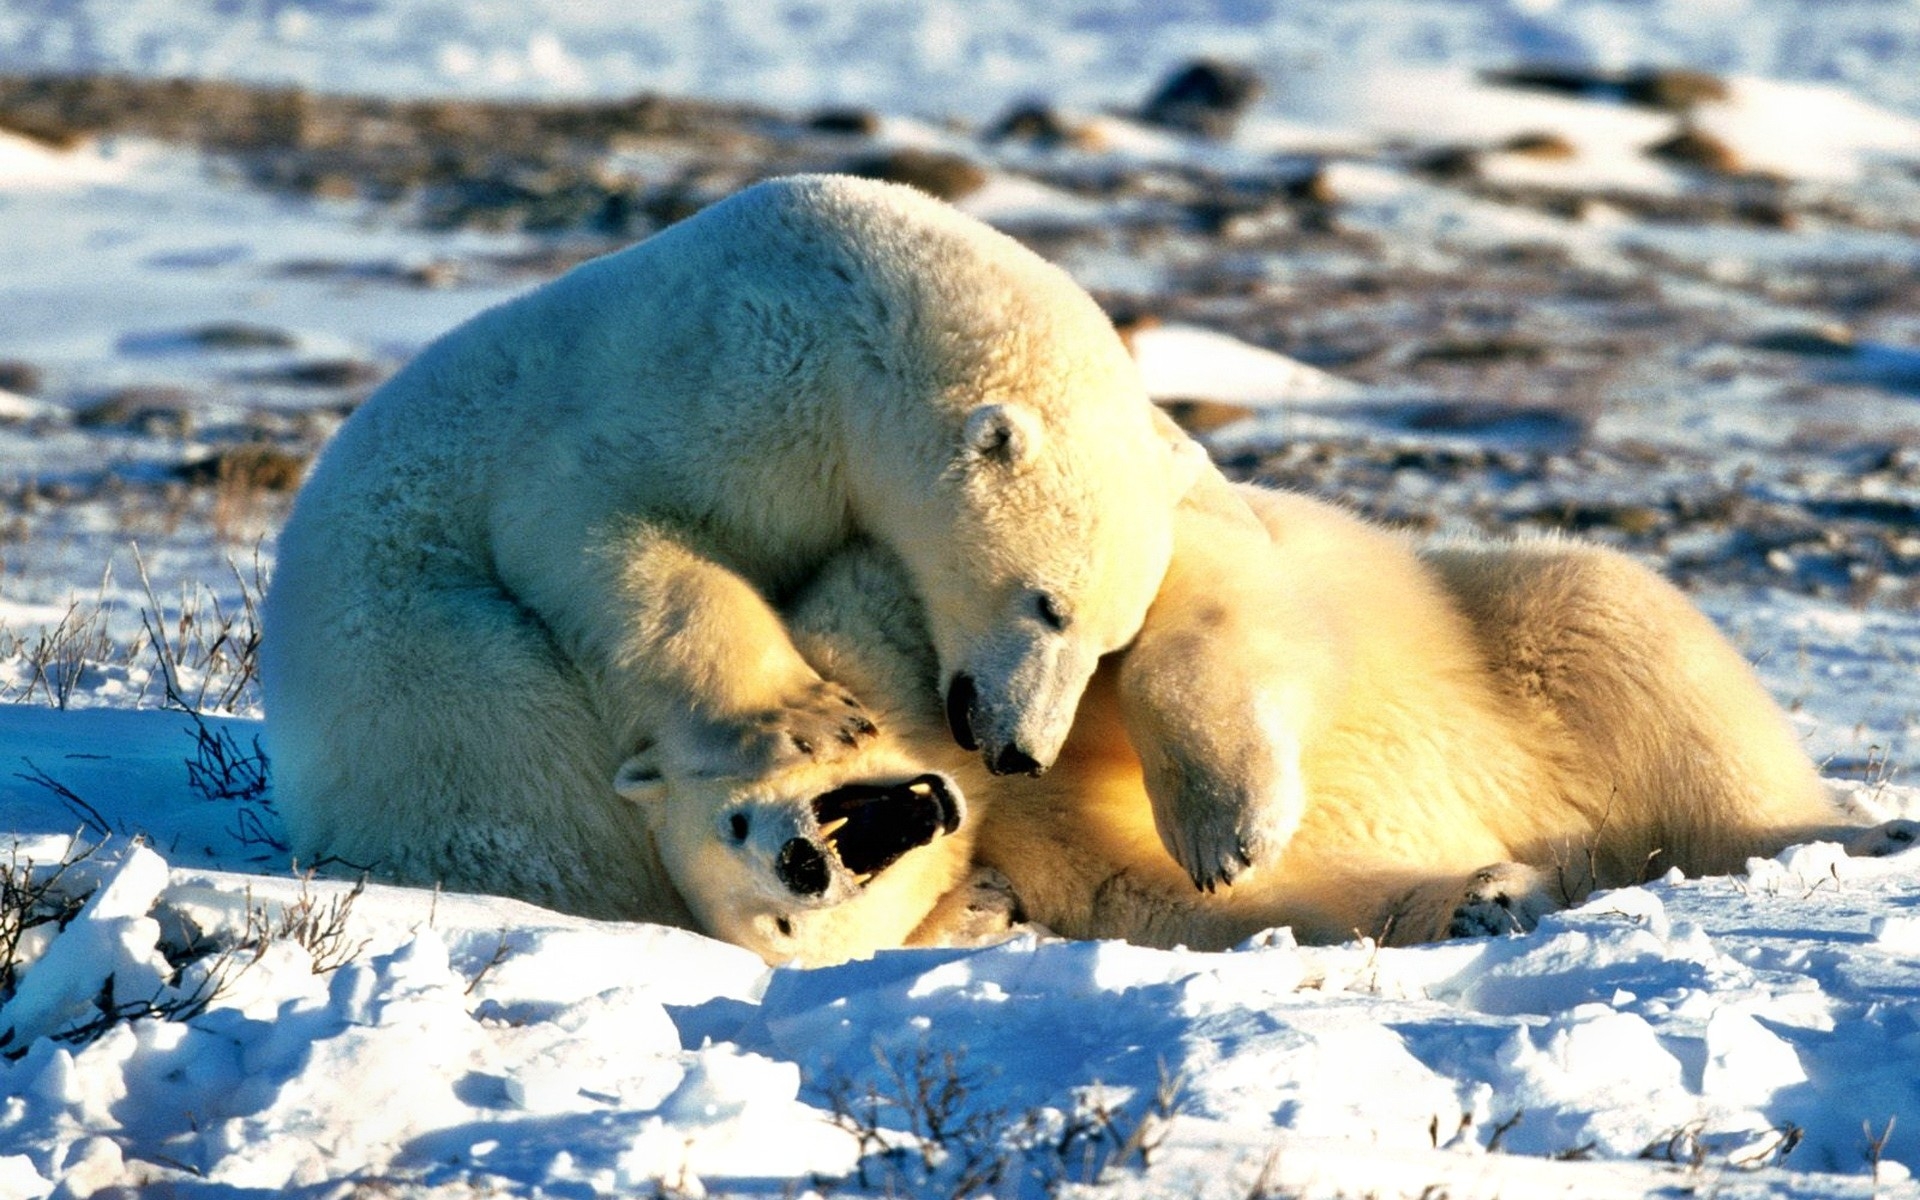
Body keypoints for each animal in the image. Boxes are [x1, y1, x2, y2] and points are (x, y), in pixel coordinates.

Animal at [260, 173, 1201, 925]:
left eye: (1110, 642)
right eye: (1047, 605)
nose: (1023, 753)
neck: (852, 331)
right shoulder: (723, 388)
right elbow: (603, 526)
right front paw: (810, 716)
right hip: (424, 667)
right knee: (524, 763)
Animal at [707, 468, 1914, 962]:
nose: (806, 859)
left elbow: (1192, 599)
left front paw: (1225, 826)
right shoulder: (1058, 859)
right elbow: (1243, 903)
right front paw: (1484, 897)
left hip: (1516, 622)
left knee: (1633, 652)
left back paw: (1855, 833)